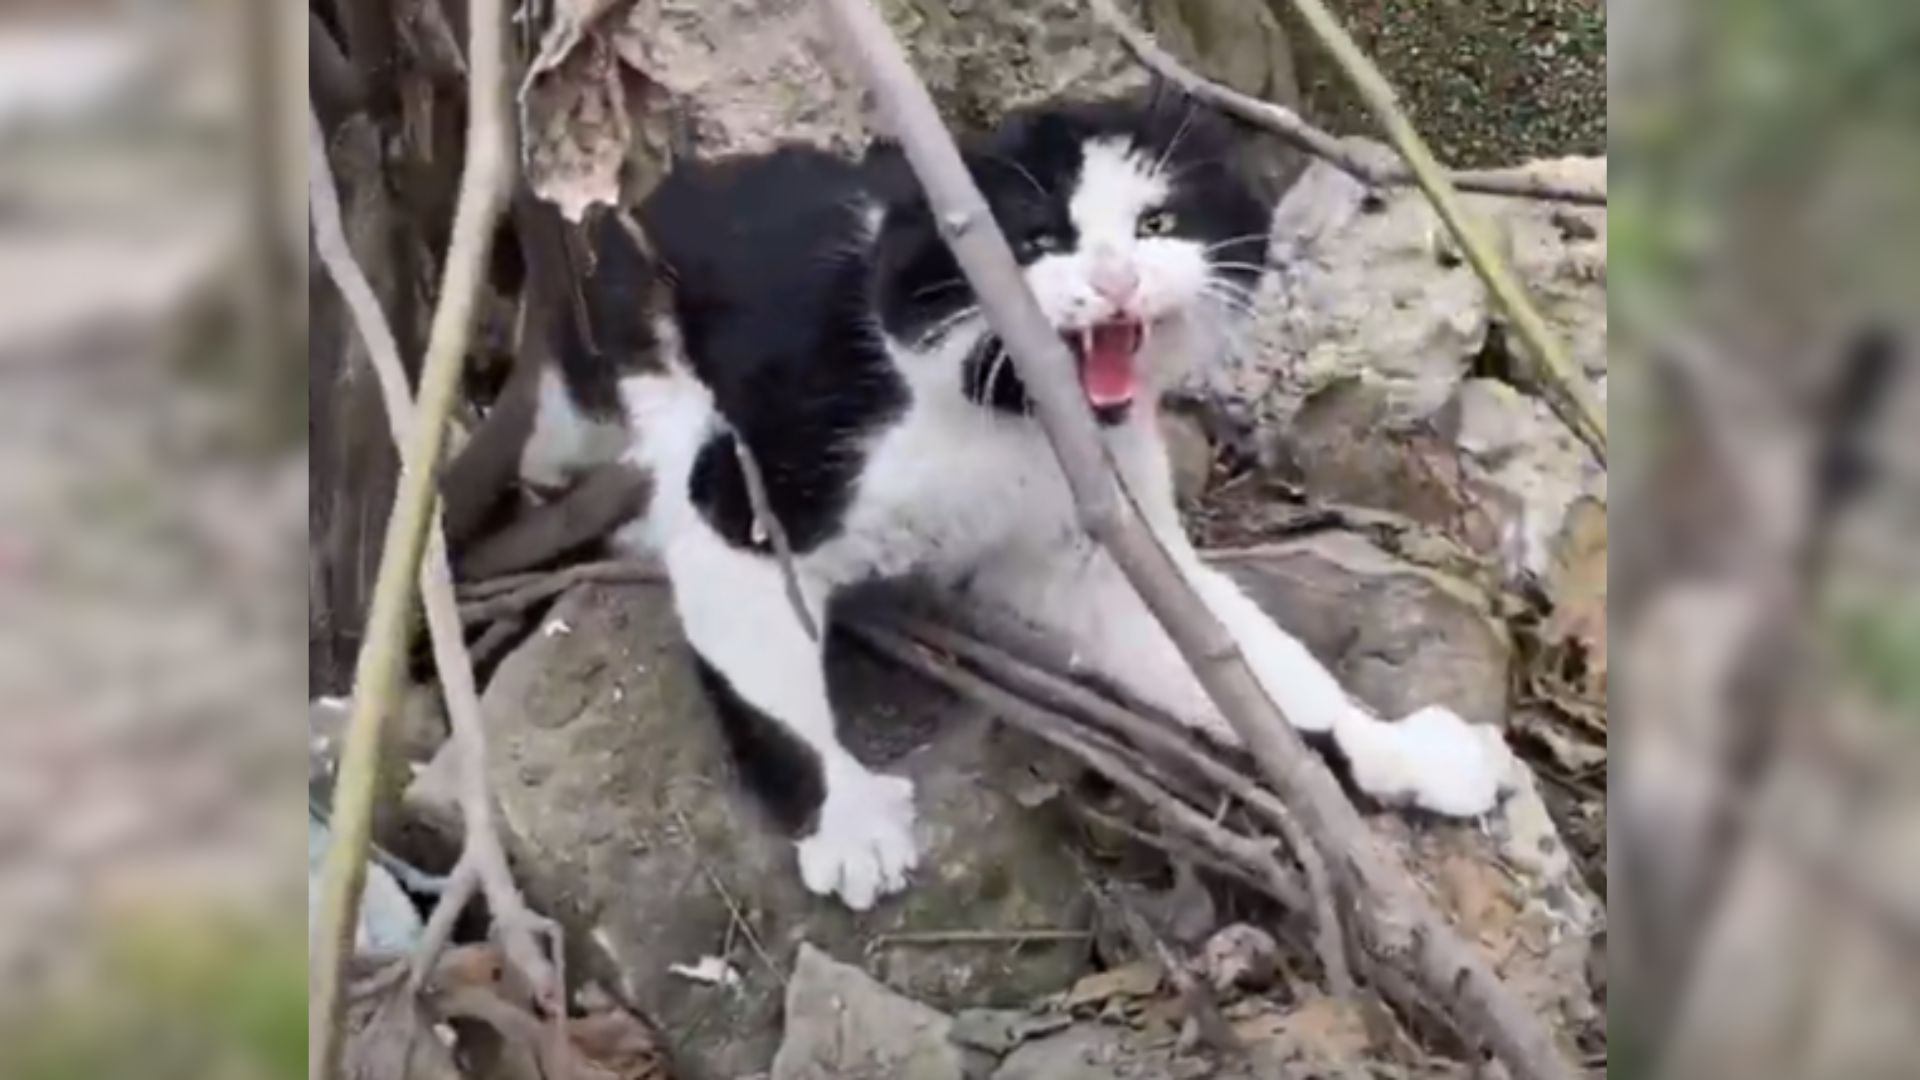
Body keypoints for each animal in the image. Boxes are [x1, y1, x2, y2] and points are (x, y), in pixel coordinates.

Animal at [529, 98, 1512, 907]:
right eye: (1036, 241)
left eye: (1156, 223)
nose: (1115, 281)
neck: (1004, 419)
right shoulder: (751, 493)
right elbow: (765, 674)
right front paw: (848, 818)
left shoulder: (1091, 550)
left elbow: (1255, 675)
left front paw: (1394, 751)